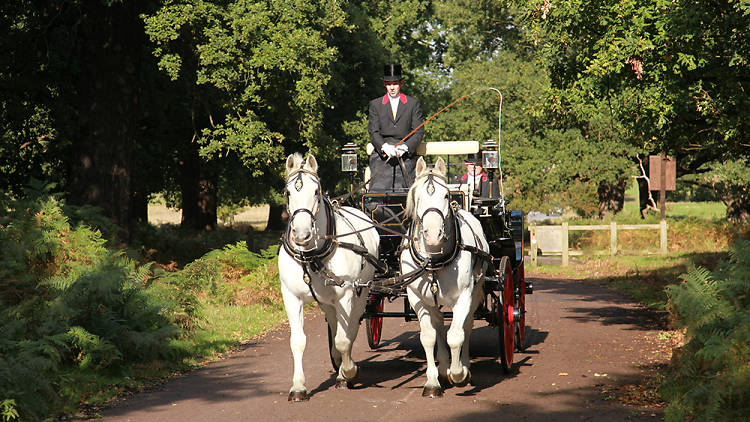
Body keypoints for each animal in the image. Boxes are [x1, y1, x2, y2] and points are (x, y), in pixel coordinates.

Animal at [280, 152, 378, 402]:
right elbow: (298, 341)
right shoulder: (291, 297)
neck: (311, 255)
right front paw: (298, 387)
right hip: (326, 301)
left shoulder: (346, 294)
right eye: (288, 192)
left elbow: (344, 339)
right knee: (335, 325)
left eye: (316, 191)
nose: (301, 234)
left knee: (351, 328)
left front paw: (348, 372)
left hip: (361, 291)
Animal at [402, 157, 490, 398]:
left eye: (446, 195)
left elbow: (456, 335)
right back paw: (442, 369)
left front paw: (459, 373)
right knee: (439, 323)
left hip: (476, 290)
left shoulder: (464, 296)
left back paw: (463, 367)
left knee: (466, 326)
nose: (433, 235)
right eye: (417, 196)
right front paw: (433, 381)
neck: (434, 258)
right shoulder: (417, 299)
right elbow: (428, 337)